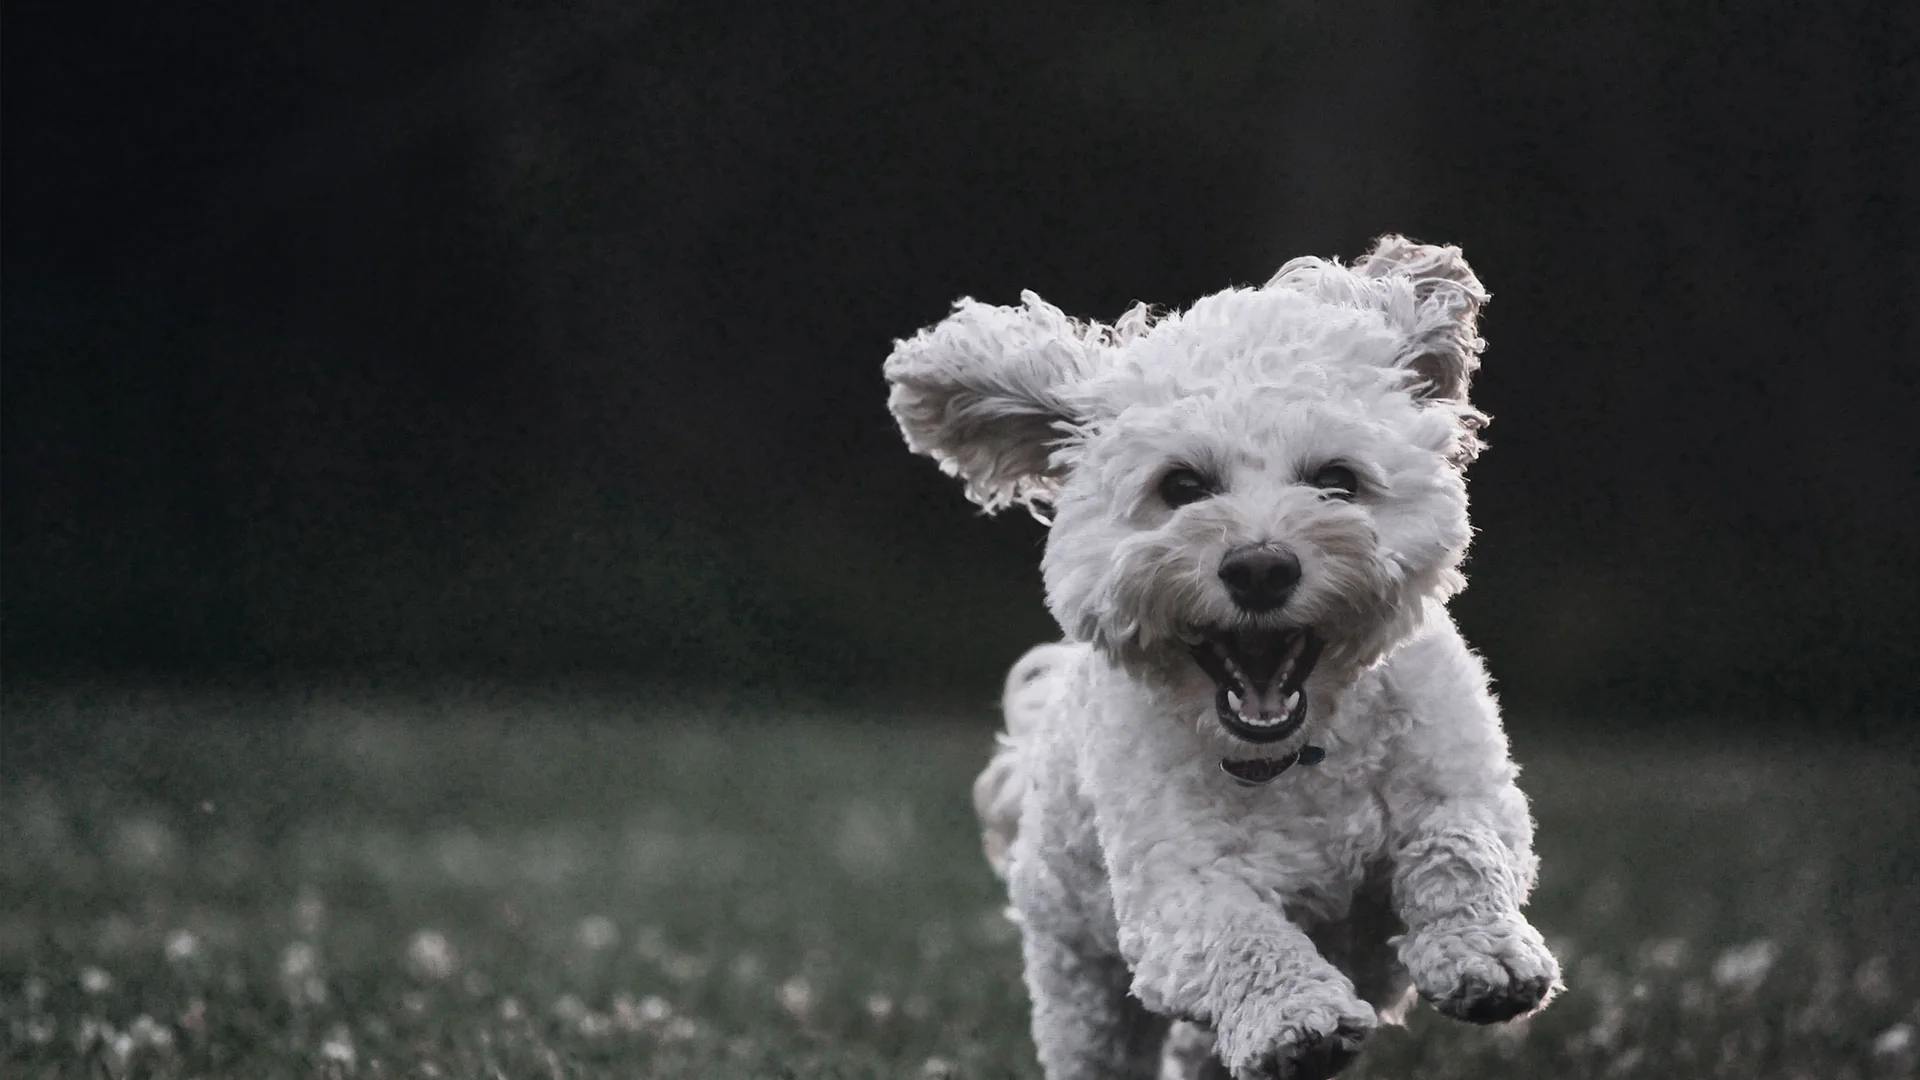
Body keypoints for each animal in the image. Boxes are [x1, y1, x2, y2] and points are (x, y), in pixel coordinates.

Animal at [883, 237, 1559, 1076]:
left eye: (1336, 480)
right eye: (1181, 485)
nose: (1261, 568)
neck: (1297, 755)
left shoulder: (1463, 787)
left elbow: (1460, 850)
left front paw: (1485, 956)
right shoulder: (1176, 890)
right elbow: (1241, 936)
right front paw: (1295, 1018)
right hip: (1080, 975)